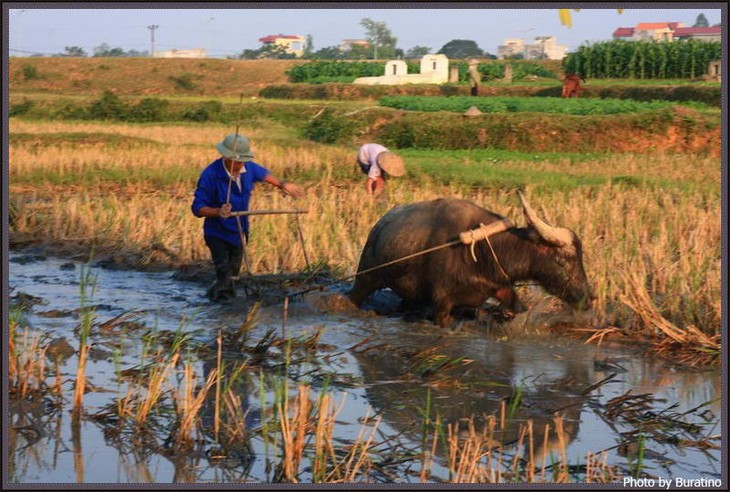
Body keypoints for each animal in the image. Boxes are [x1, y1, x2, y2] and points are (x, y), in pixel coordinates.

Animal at [346, 194, 592, 328]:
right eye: (564, 259)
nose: (589, 298)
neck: (482, 253)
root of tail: (379, 225)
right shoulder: (442, 305)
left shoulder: (502, 289)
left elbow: (517, 308)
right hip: (366, 277)